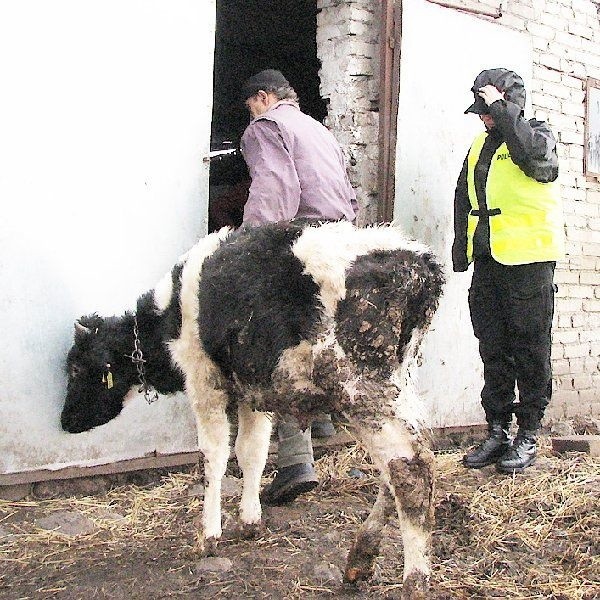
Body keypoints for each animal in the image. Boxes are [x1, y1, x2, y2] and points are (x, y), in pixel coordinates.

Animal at [62, 219, 446, 596]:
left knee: (410, 467)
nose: (65, 421)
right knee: (399, 464)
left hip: (360, 387)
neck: (170, 312)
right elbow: (252, 451)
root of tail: (419, 262)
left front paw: (209, 535)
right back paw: (359, 560)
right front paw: (250, 519)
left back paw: (413, 581)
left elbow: (213, 456)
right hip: (397, 382)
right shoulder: (254, 390)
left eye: (76, 368)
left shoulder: (204, 380)